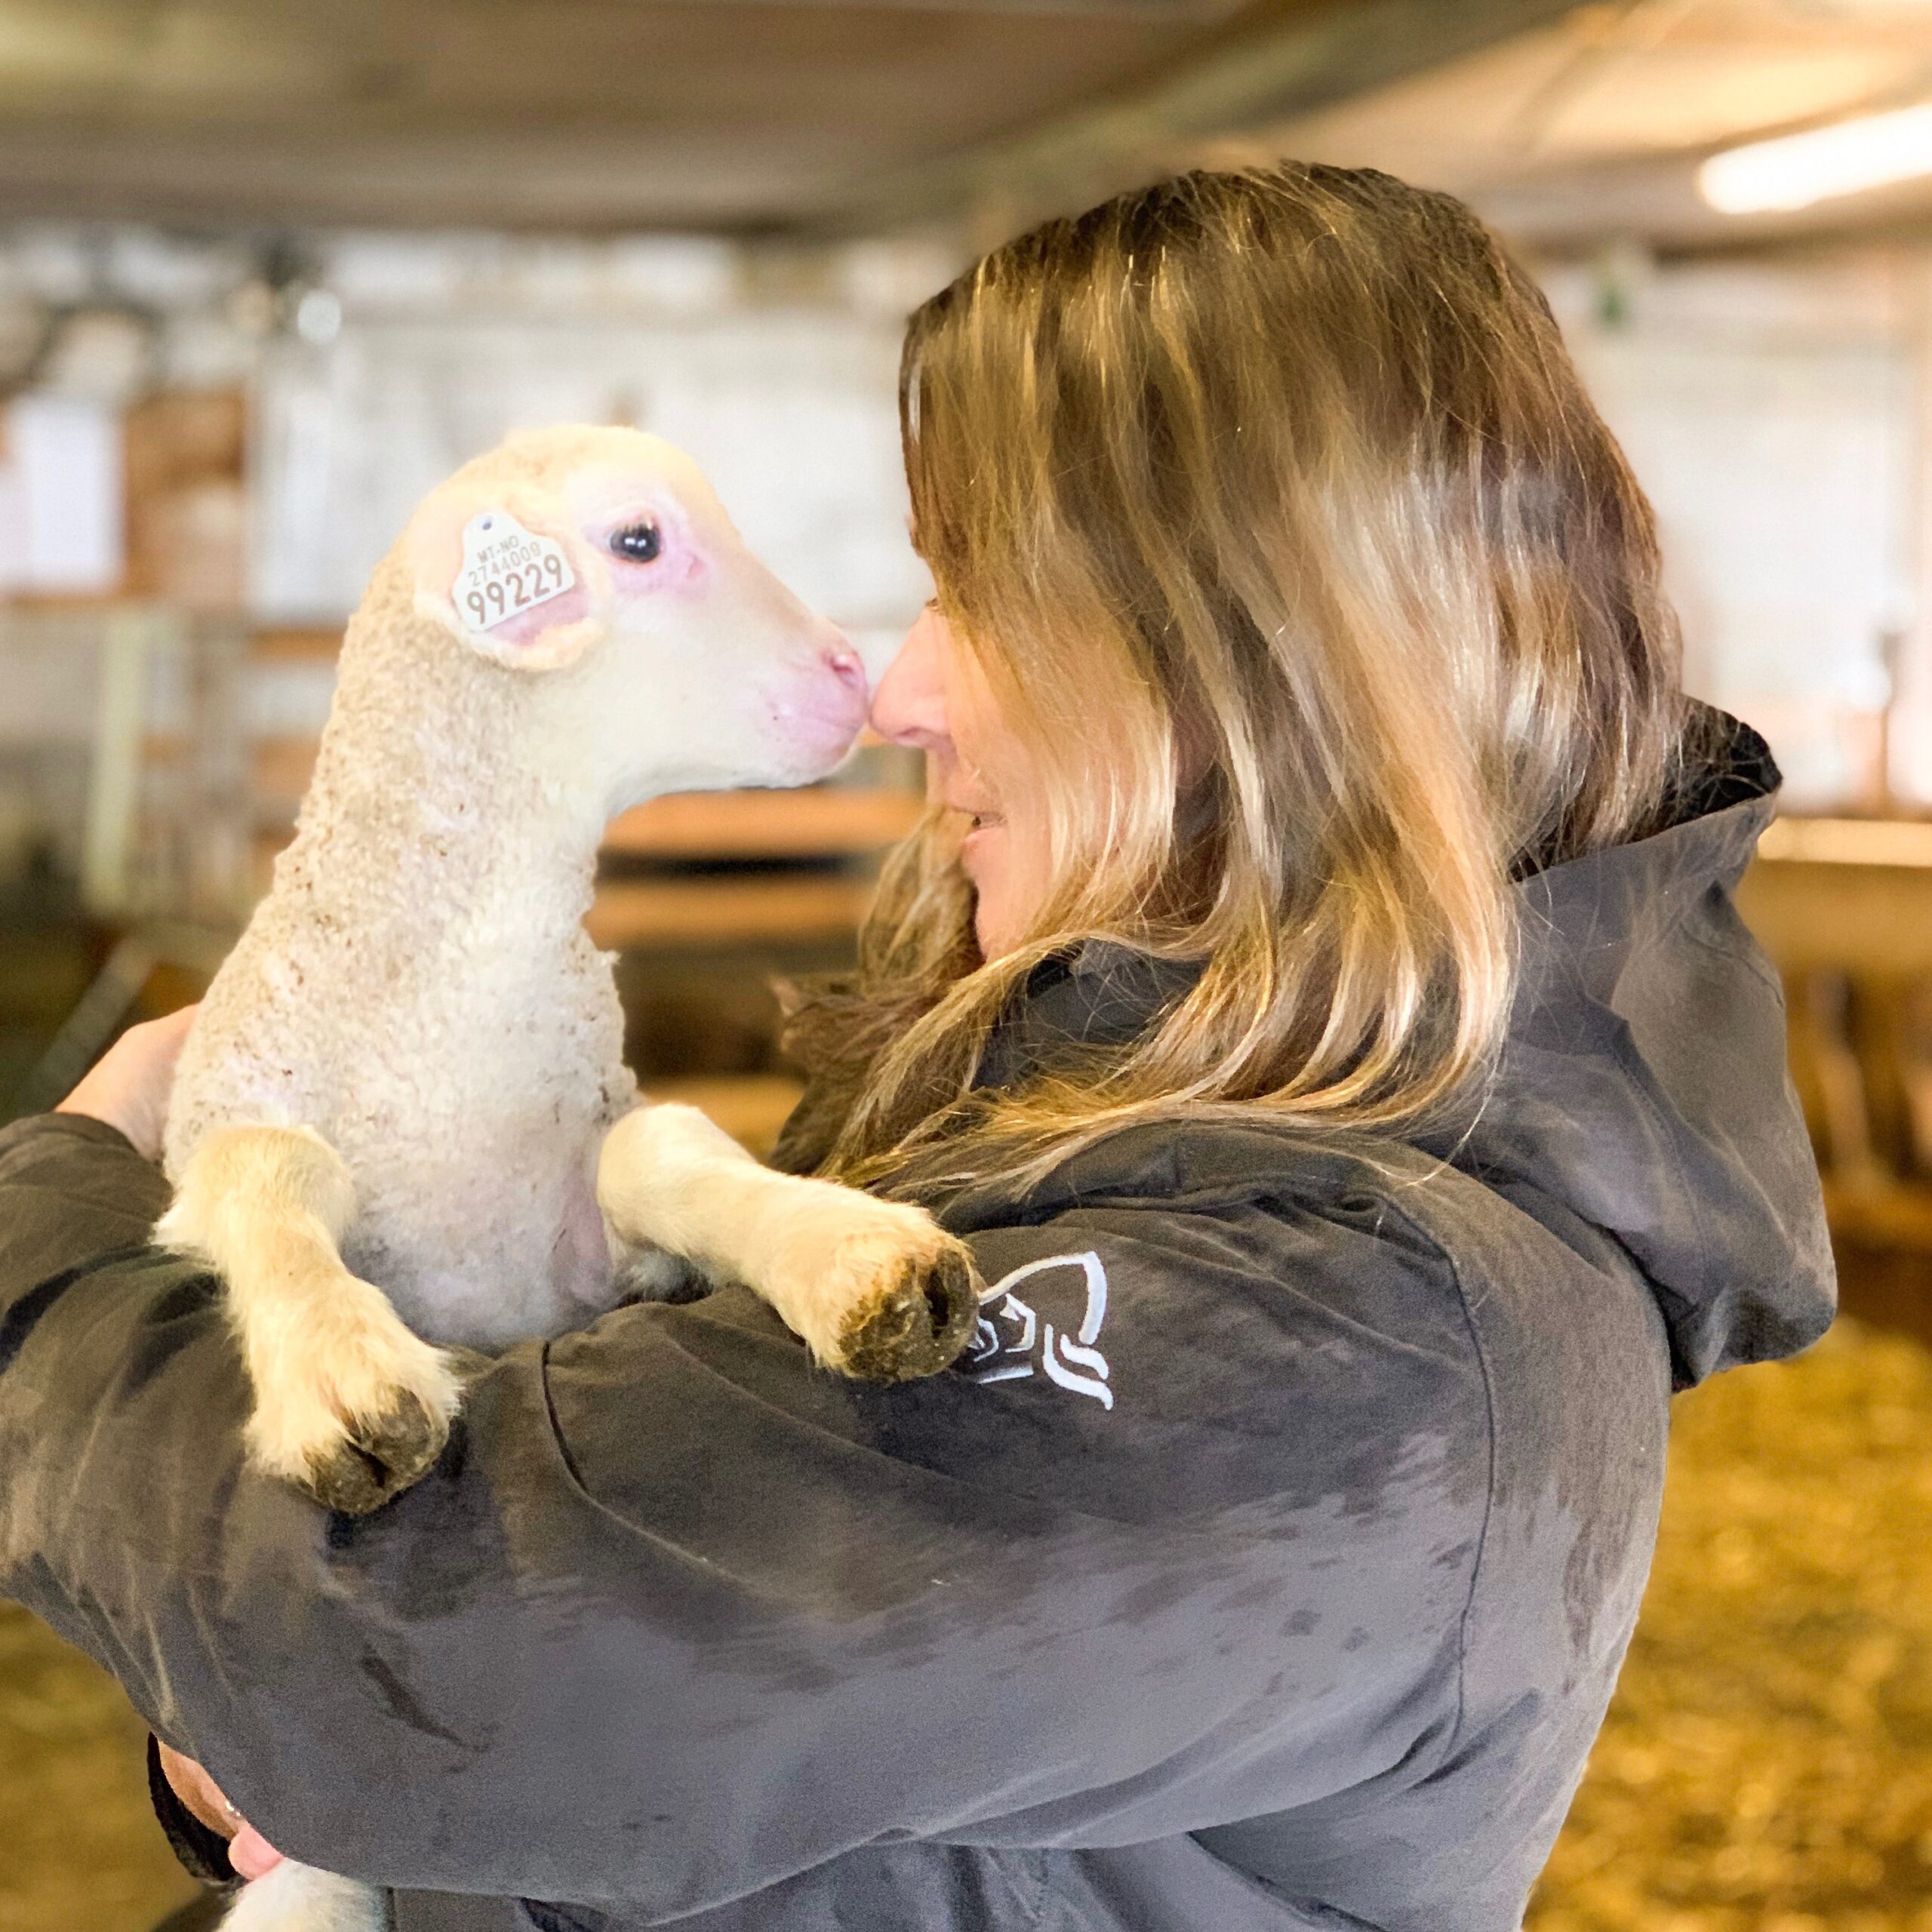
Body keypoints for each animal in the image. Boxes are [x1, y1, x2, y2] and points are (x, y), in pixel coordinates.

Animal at [150, 423, 981, 1932]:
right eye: (640, 542)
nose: (852, 674)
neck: (452, 1031)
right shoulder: (231, 1106)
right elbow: (265, 1169)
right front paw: (342, 1373)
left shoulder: (593, 1231)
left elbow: (660, 1150)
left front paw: (850, 1258)